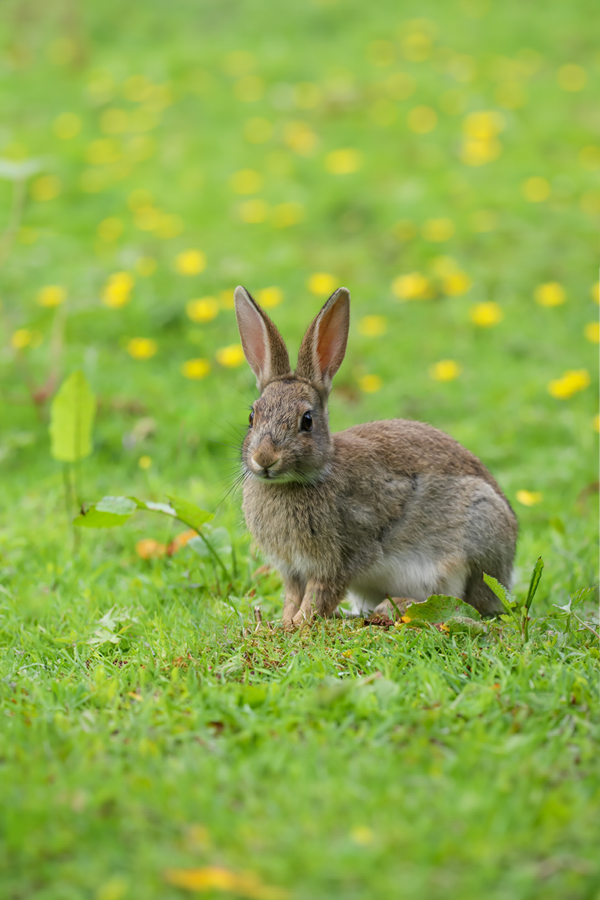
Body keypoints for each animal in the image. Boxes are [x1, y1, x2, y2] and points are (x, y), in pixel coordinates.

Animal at [234, 285, 517, 626]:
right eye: (252, 417)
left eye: (307, 421)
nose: (264, 459)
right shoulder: (292, 569)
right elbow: (292, 596)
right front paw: (281, 624)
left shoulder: (340, 559)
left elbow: (317, 597)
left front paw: (297, 625)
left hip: (479, 529)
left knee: (466, 603)